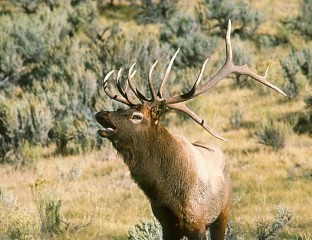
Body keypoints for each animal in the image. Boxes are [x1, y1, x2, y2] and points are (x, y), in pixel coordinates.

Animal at [95, 21, 288, 240]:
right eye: (121, 109)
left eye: (137, 116)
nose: (101, 114)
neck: (168, 193)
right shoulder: (167, 225)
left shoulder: (198, 223)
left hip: (223, 212)